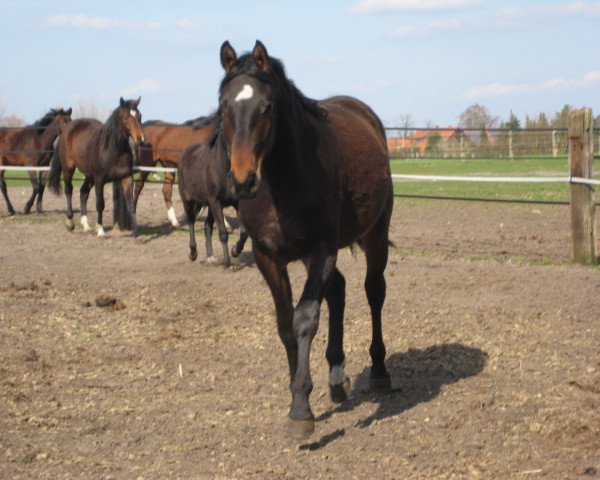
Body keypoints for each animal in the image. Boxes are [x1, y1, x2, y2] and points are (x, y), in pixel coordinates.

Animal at [49, 97, 145, 236]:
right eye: (126, 117)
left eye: (140, 116)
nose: (141, 139)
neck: (113, 149)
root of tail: (66, 129)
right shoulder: (99, 180)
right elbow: (100, 204)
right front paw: (100, 230)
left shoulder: (126, 177)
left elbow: (131, 203)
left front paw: (136, 231)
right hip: (68, 169)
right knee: (69, 190)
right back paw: (70, 223)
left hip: (89, 176)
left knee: (83, 192)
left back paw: (86, 225)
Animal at [178, 122, 251, 268]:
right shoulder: (216, 202)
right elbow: (223, 232)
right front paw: (227, 262)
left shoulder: (235, 203)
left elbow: (244, 232)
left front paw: (235, 251)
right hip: (188, 201)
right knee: (191, 221)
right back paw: (193, 253)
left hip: (209, 205)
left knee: (207, 226)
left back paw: (210, 257)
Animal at [218, 41, 396, 438]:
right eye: (223, 105)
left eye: (267, 106)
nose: (242, 180)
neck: (281, 183)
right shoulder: (268, 257)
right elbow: (285, 324)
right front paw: (297, 396)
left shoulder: (322, 250)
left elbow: (305, 319)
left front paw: (301, 409)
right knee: (340, 289)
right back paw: (337, 377)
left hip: (375, 233)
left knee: (373, 291)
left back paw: (379, 371)